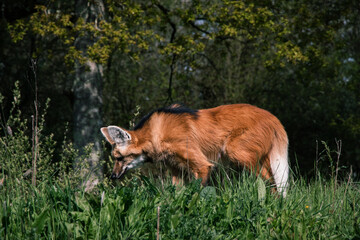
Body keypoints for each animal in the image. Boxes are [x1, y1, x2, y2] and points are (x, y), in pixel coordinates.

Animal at [101, 104, 290, 196]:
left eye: (119, 158)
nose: (113, 176)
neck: (156, 134)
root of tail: (273, 118)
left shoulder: (201, 165)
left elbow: (197, 192)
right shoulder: (176, 169)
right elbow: (176, 193)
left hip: (236, 152)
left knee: (271, 182)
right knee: (273, 183)